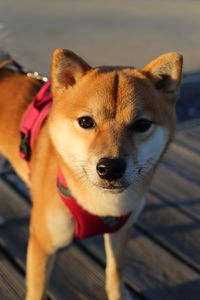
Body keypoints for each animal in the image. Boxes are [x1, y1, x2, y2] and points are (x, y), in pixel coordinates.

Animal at [0, 49, 183, 300]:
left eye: (142, 124)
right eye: (86, 121)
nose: (110, 167)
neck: (103, 206)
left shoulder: (121, 231)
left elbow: (115, 272)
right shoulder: (42, 244)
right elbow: (37, 291)